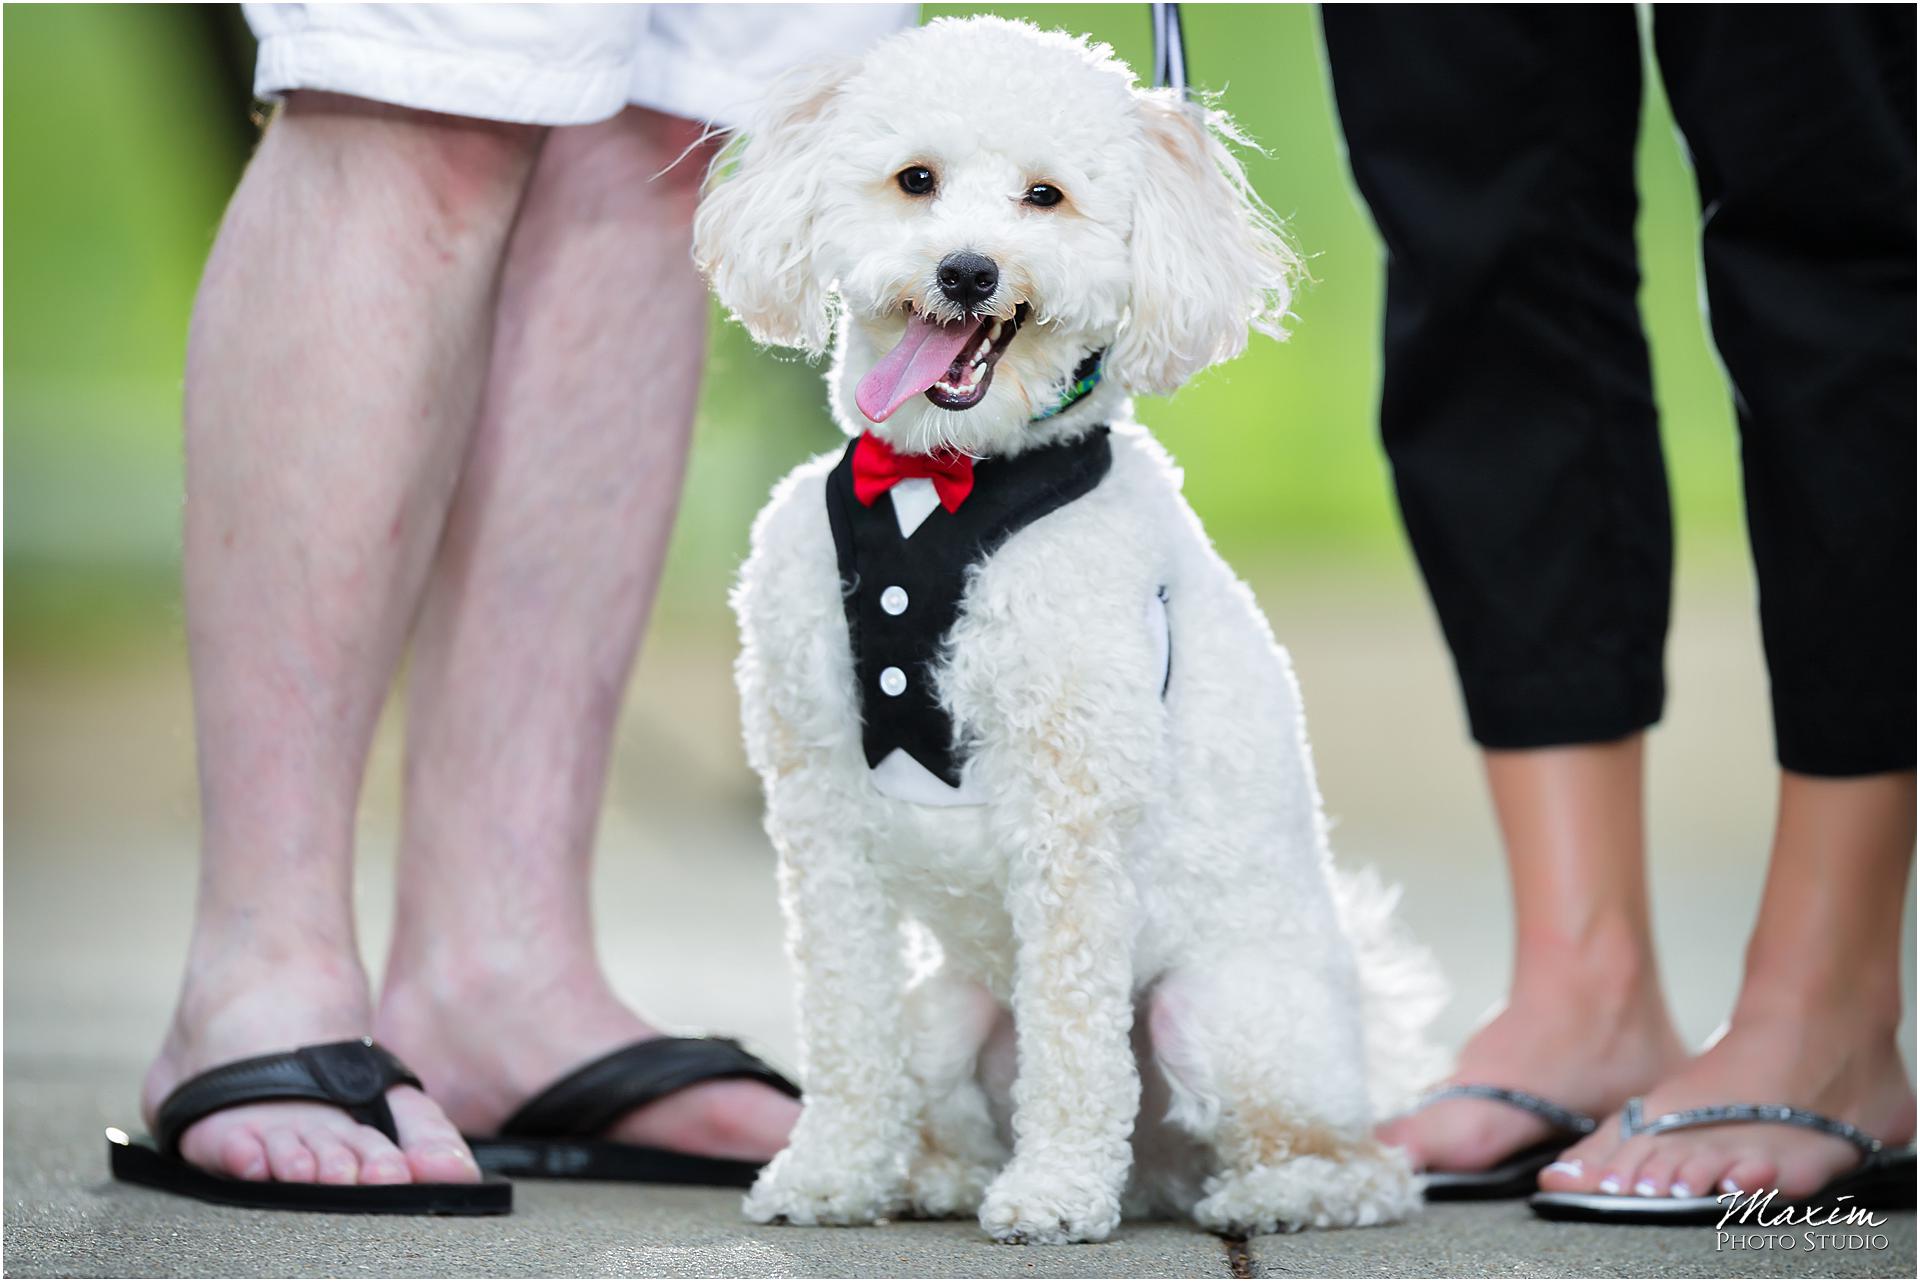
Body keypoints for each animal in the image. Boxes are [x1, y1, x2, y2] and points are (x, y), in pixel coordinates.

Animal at [698, 14, 1443, 1243]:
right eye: (916, 180)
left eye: (1045, 196)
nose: (968, 270)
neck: (937, 484)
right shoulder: (816, 799)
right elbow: (844, 1018)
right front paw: (834, 1171)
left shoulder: (1073, 807)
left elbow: (1075, 1035)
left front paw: (1051, 1192)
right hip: (947, 1005)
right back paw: (937, 1173)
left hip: (1217, 1014)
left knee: (1356, 1160)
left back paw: (1278, 1188)